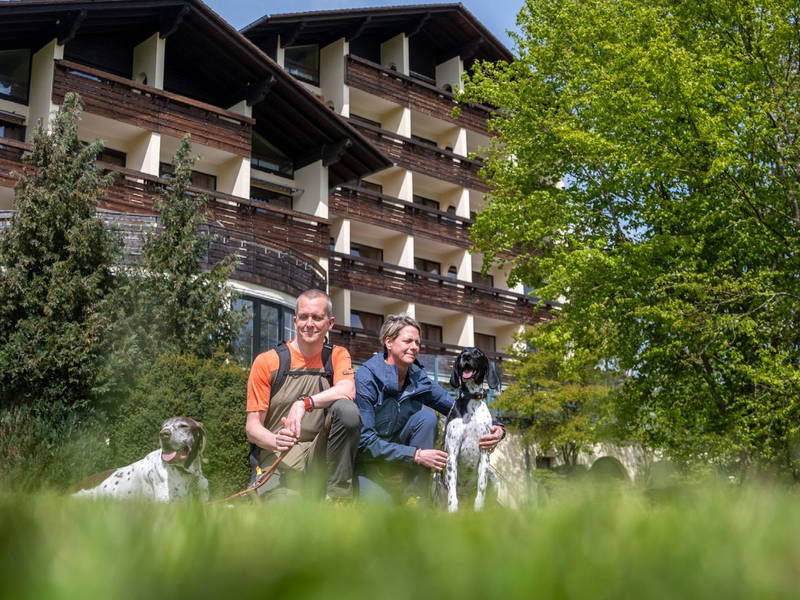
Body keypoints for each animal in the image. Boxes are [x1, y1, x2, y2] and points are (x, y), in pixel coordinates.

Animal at [444, 350, 500, 512]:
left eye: (477, 353)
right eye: (461, 353)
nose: (466, 356)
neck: (472, 399)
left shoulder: (485, 453)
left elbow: (481, 486)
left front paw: (478, 508)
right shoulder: (452, 454)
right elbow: (452, 492)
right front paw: (452, 509)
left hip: (494, 479)